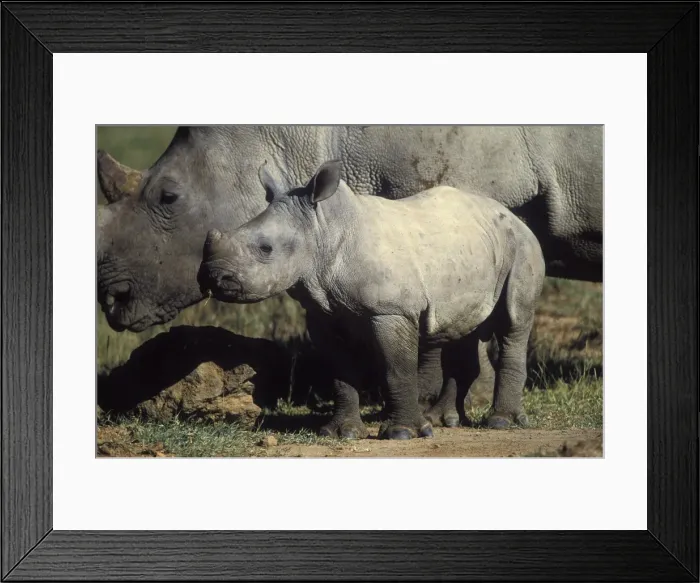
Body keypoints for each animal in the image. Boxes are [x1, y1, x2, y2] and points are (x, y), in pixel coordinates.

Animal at [200, 161, 545, 439]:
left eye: (265, 249)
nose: (214, 277)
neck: (322, 231)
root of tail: (515, 217)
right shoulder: (323, 313)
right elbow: (339, 371)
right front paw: (340, 432)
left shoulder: (391, 310)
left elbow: (397, 368)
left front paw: (403, 433)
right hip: (473, 250)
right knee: (463, 328)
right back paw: (442, 420)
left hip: (521, 246)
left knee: (513, 321)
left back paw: (501, 422)